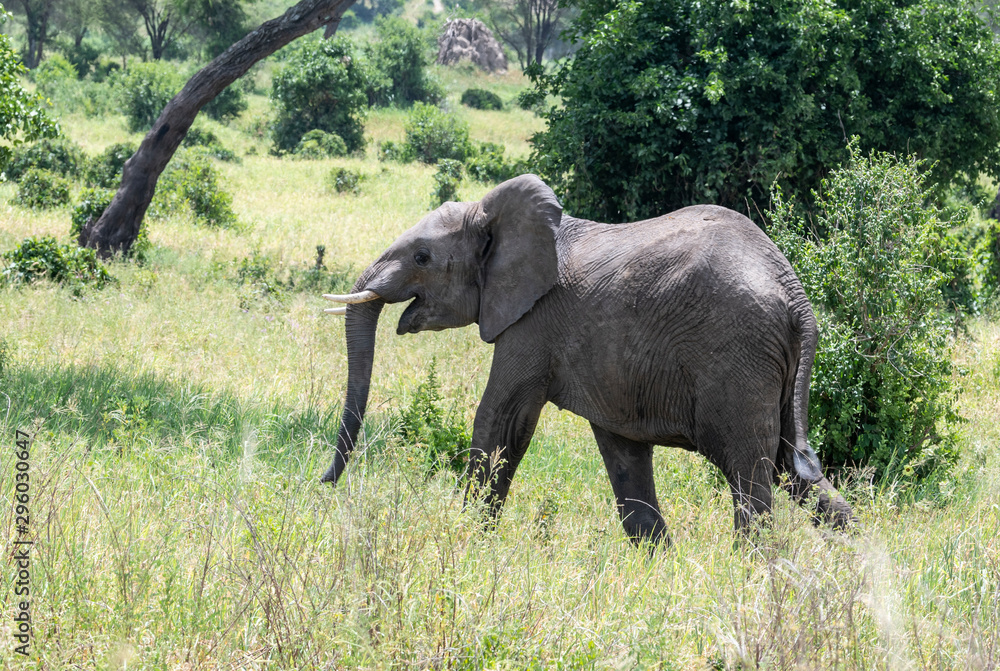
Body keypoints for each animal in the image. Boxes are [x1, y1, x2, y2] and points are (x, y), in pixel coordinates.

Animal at [321, 174, 855, 543]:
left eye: (422, 258)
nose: (323, 483)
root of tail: (798, 300)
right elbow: (623, 457)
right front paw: (657, 568)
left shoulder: (532, 323)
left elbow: (501, 421)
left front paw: (466, 541)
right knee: (795, 471)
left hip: (737, 359)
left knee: (750, 471)